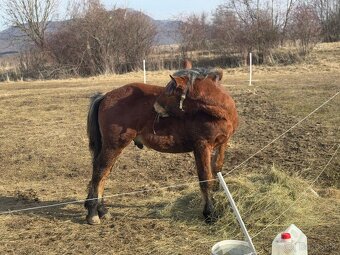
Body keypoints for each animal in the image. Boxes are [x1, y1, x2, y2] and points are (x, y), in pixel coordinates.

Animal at [84, 66, 238, 224]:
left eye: (170, 93)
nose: (156, 107)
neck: (220, 113)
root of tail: (105, 96)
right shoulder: (202, 146)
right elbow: (205, 178)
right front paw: (210, 213)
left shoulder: (221, 144)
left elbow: (216, 170)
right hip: (113, 146)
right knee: (99, 172)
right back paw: (93, 213)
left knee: (104, 173)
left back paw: (102, 210)